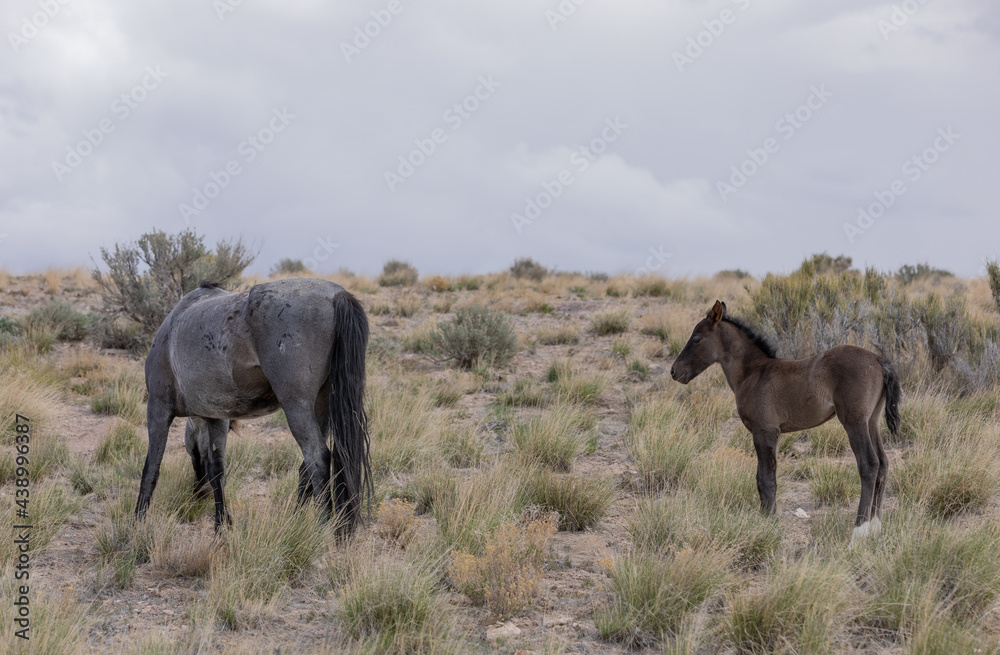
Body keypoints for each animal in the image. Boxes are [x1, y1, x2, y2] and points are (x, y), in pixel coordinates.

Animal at [136, 274, 372, 536]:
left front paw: (137, 522)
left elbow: (151, 469)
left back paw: (322, 526)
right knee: (308, 466)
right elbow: (217, 470)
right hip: (322, 406)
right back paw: (295, 524)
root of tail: (337, 295)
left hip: (297, 407)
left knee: (317, 459)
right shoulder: (216, 417)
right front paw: (221, 526)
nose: (199, 494)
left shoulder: (158, 409)